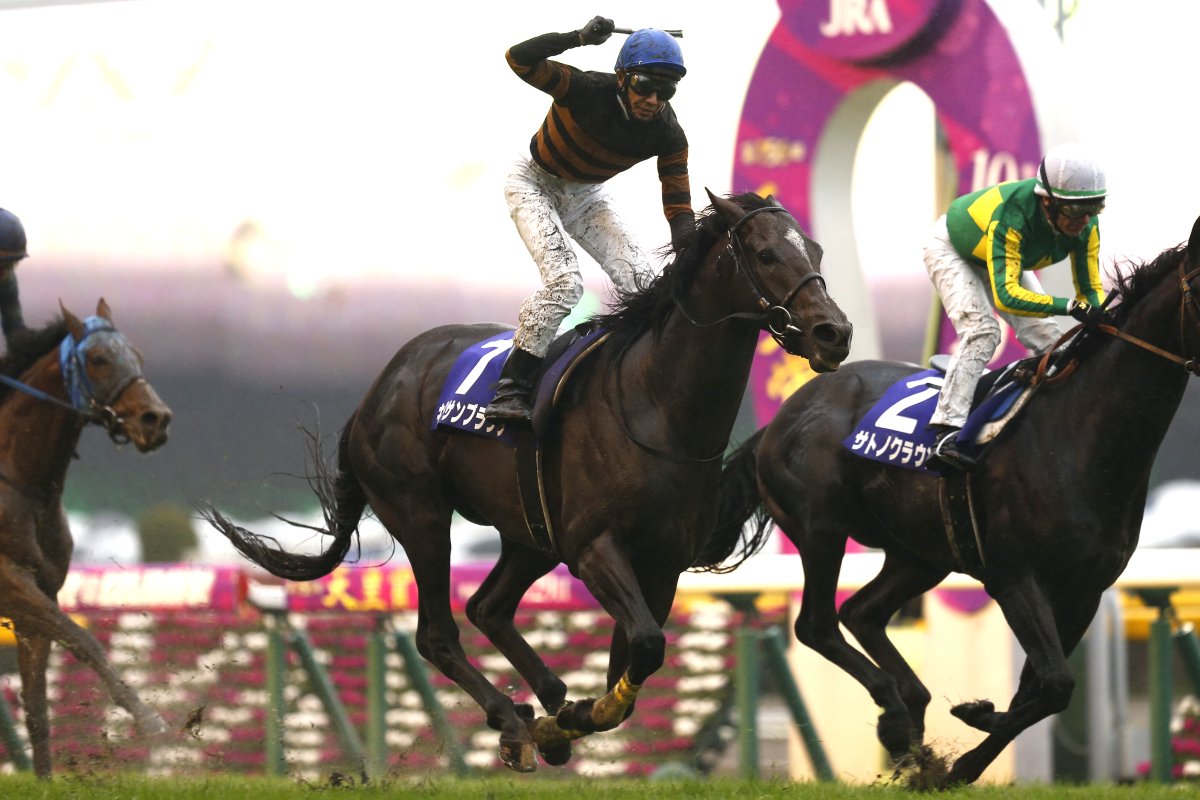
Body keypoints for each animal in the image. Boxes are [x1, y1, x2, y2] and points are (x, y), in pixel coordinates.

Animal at [0, 299, 172, 777]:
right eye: (98, 358)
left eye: (138, 355)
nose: (155, 418)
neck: (27, 485)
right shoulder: (12, 581)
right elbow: (84, 638)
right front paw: (149, 719)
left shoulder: (40, 595)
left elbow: (36, 706)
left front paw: (43, 780)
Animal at [201, 190, 853, 771]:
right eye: (766, 254)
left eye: (818, 250)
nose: (834, 332)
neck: (658, 408)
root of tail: (375, 391)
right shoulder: (594, 549)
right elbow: (644, 646)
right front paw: (576, 715)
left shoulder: (663, 564)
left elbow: (632, 660)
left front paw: (573, 715)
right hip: (422, 517)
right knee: (438, 633)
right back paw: (515, 720)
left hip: (528, 533)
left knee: (488, 607)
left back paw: (545, 705)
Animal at [712, 215, 1200, 786]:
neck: (1081, 433)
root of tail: (780, 419)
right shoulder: (1013, 575)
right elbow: (1054, 685)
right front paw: (968, 737)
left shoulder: (1084, 590)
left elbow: (1041, 689)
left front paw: (967, 743)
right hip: (821, 529)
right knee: (817, 623)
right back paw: (896, 715)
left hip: (921, 553)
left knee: (861, 611)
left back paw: (909, 712)